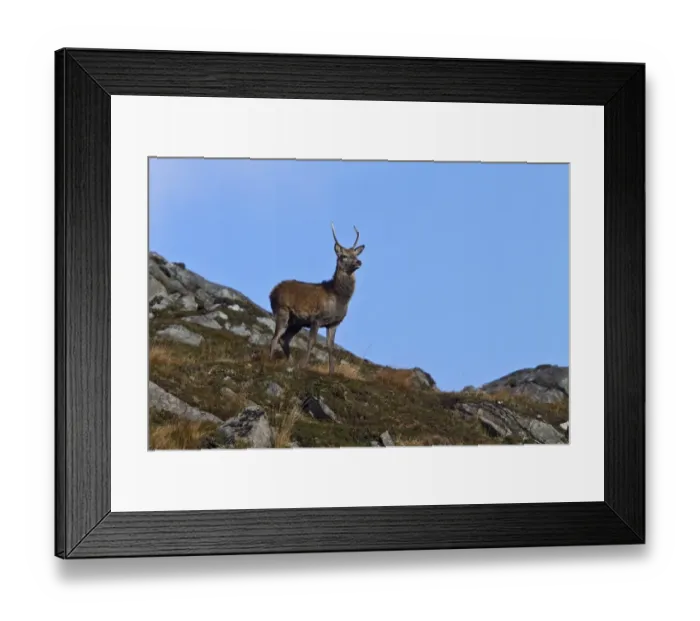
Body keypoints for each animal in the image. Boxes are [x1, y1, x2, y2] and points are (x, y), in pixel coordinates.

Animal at [268, 223, 365, 375]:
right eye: (343, 256)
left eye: (355, 254)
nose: (358, 261)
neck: (338, 297)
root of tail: (272, 292)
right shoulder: (316, 318)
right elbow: (311, 342)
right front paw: (303, 365)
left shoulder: (334, 323)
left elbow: (331, 347)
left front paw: (332, 372)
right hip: (282, 310)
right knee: (275, 337)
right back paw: (271, 361)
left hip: (297, 322)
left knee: (284, 339)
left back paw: (290, 362)